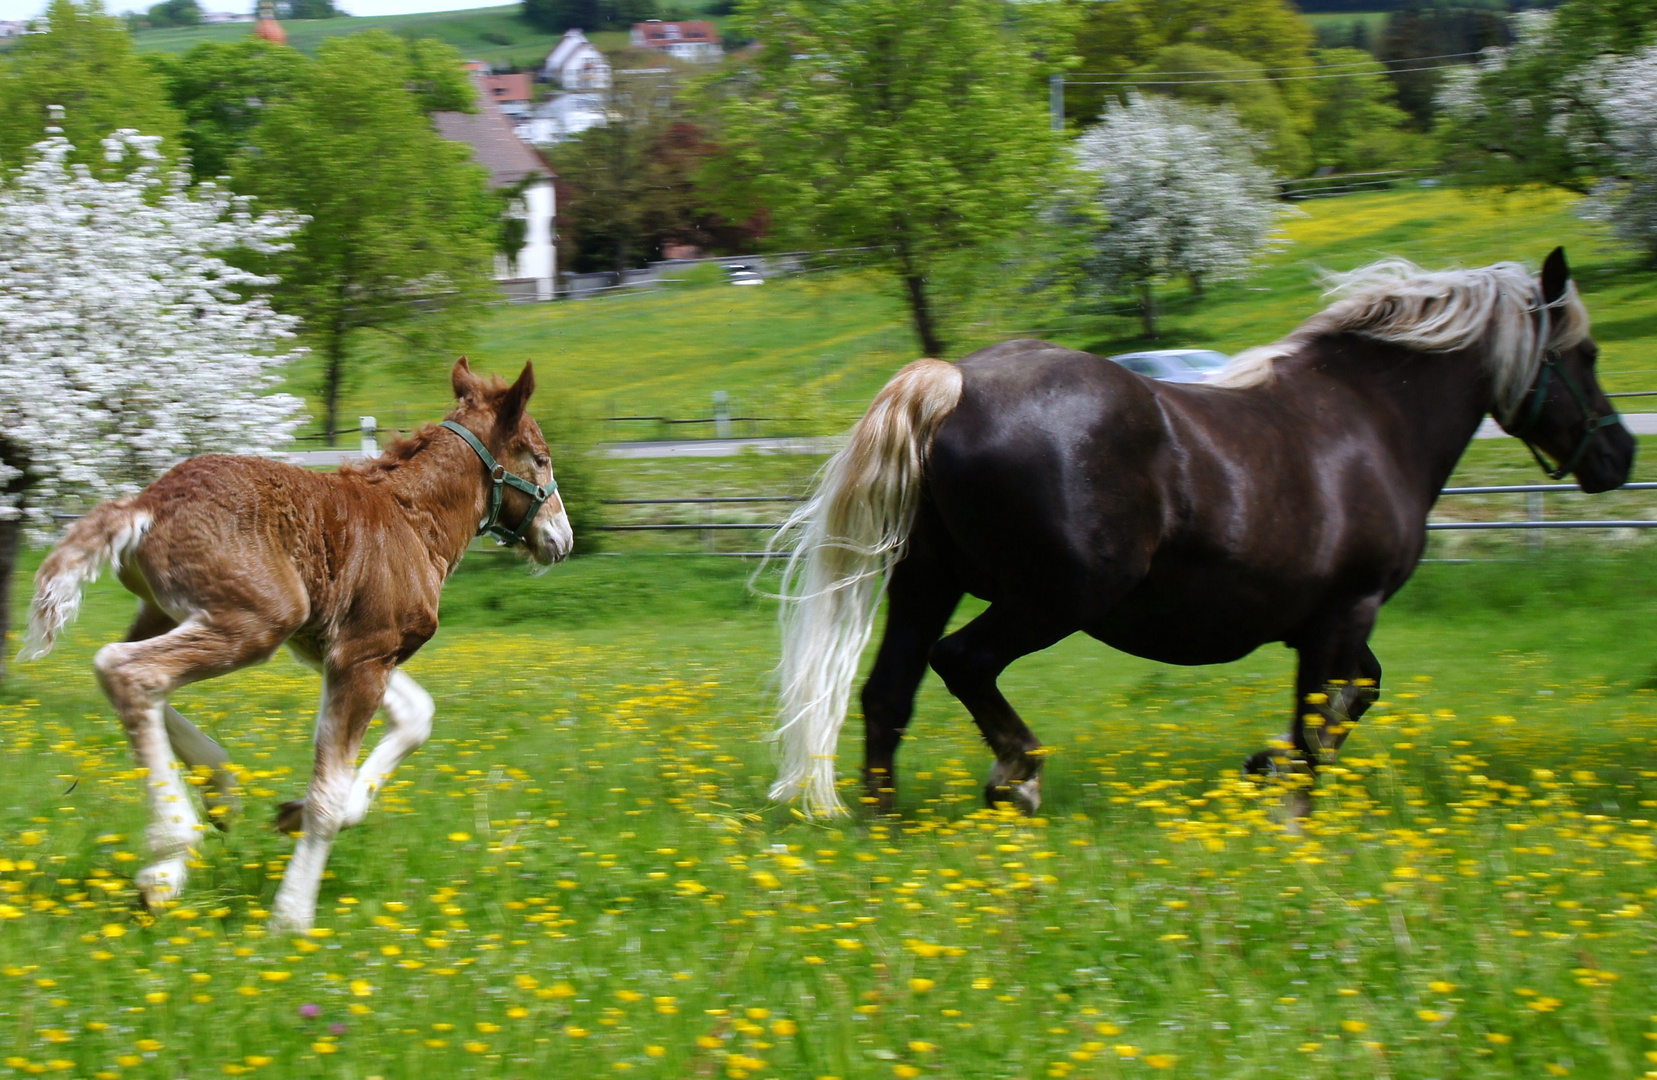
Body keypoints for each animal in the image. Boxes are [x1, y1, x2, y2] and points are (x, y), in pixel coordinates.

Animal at [16, 361, 576, 927]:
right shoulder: (362, 655)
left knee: (118, 669)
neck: (413, 519)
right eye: (541, 457)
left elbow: (416, 716)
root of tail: (144, 504)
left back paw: (216, 797)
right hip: (258, 620)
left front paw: (289, 815)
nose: (563, 539)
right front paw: (290, 917)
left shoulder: (336, 649)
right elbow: (329, 794)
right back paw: (170, 854)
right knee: (131, 671)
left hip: (171, 612)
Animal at [768, 248, 1637, 814]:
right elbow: (1320, 719)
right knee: (963, 662)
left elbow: (1353, 699)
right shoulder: (1347, 611)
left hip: (927, 582)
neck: (1369, 419)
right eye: (1586, 352)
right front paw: (1285, 798)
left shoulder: (1322, 623)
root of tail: (953, 382)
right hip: (1057, 597)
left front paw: (1263, 766)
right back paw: (1017, 775)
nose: (1619, 454)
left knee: (887, 695)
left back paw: (887, 825)